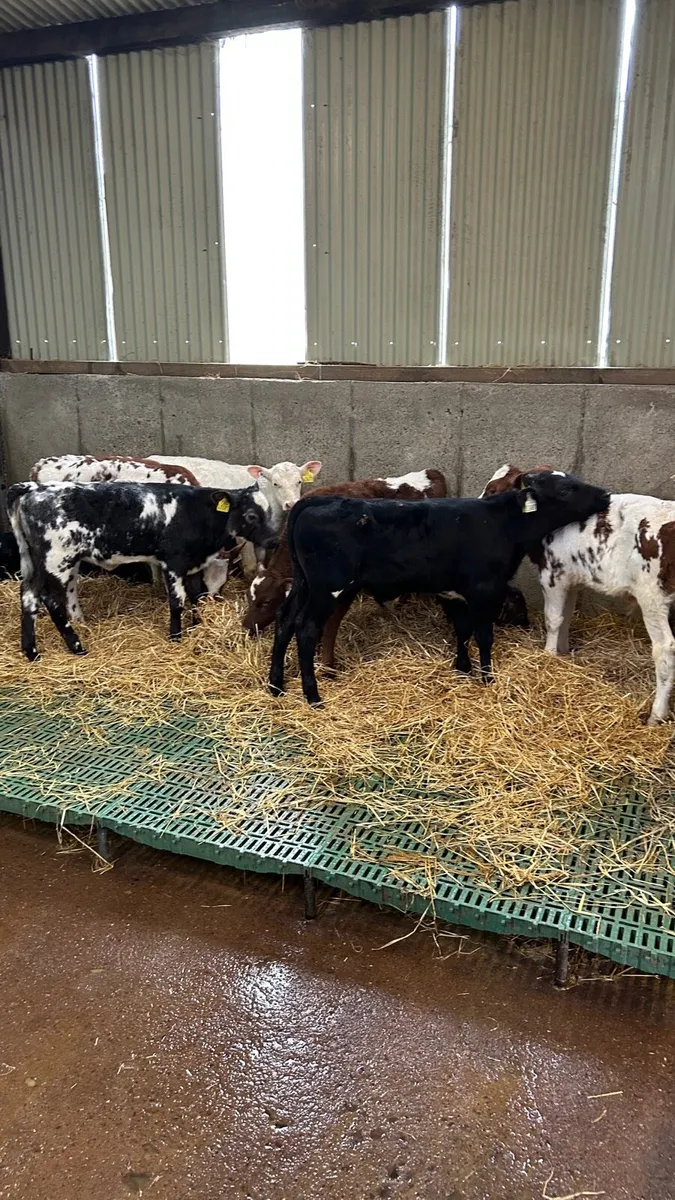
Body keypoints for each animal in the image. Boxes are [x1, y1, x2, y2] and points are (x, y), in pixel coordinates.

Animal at [8, 481, 278, 660]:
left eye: (269, 512)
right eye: (251, 515)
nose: (274, 541)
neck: (195, 513)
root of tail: (34, 488)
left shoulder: (192, 565)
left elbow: (196, 597)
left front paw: (197, 627)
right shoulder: (174, 562)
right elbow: (178, 601)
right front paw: (176, 637)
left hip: (35, 563)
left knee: (29, 596)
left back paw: (31, 651)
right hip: (57, 561)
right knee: (51, 601)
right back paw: (76, 647)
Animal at [268, 471, 610, 705]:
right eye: (566, 488)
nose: (605, 494)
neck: (500, 523)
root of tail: (316, 500)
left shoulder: (455, 592)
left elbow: (462, 631)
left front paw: (463, 668)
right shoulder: (484, 590)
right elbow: (483, 635)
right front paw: (487, 677)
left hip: (303, 585)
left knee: (285, 622)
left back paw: (276, 685)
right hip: (327, 589)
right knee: (305, 628)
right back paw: (312, 695)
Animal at [481, 463, 675, 724]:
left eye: (493, 489)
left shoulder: (552, 574)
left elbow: (553, 619)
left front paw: (549, 655)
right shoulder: (571, 579)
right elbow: (566, 617)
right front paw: (562, 652)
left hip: (651, 597)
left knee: (664, 648)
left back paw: (656, 715)